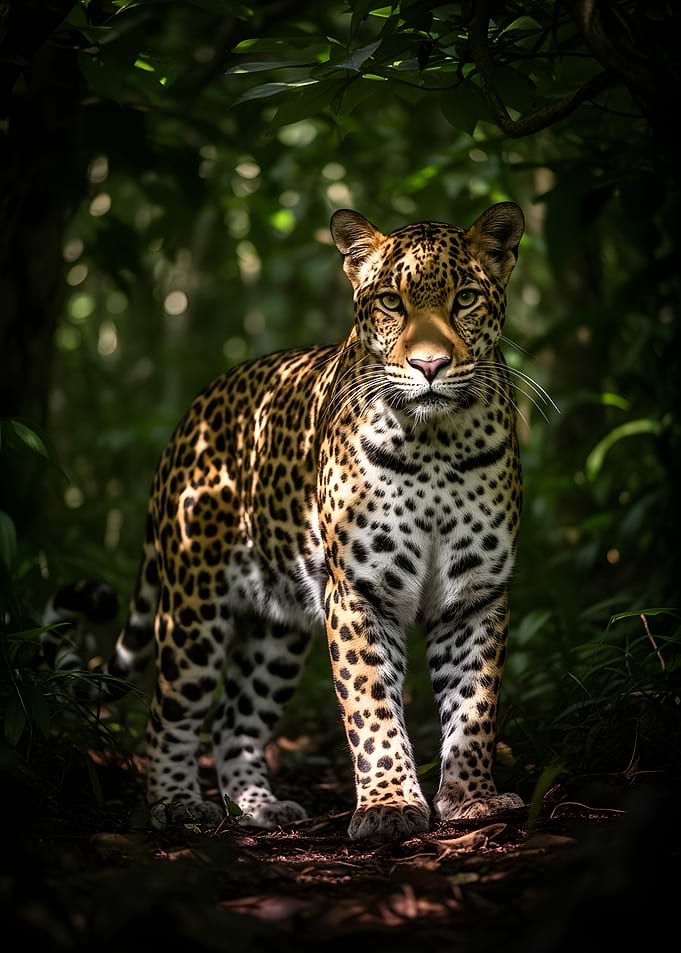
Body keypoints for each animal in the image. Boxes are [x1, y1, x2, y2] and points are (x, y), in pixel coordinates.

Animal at [80, 201, 527, 840]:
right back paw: (176, 803)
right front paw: (390, 807)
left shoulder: (476, 594)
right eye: (391, 302)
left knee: (235, 719)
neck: (437, 443)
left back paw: (258, 807)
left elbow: (474, 704)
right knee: (171, 712)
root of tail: (190, 418)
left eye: (465, 298)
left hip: (277, 629)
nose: (430, 364)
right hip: (193, 610)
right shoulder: (361, 592)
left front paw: (472, 799)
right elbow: (371, 707)